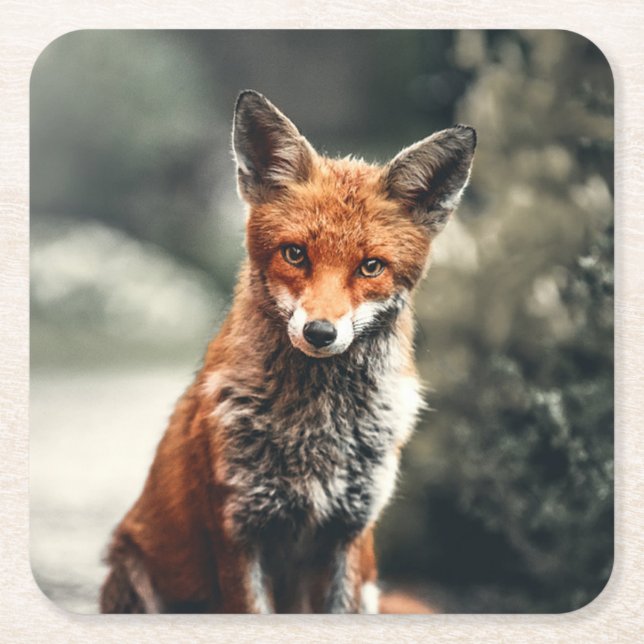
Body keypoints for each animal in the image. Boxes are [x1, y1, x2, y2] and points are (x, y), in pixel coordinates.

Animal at [99, 90, 476, 614]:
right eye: (295, 254)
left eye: (370, 267)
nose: (320, 332)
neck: (317, 429)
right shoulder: (238, 530)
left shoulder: (349, 531)